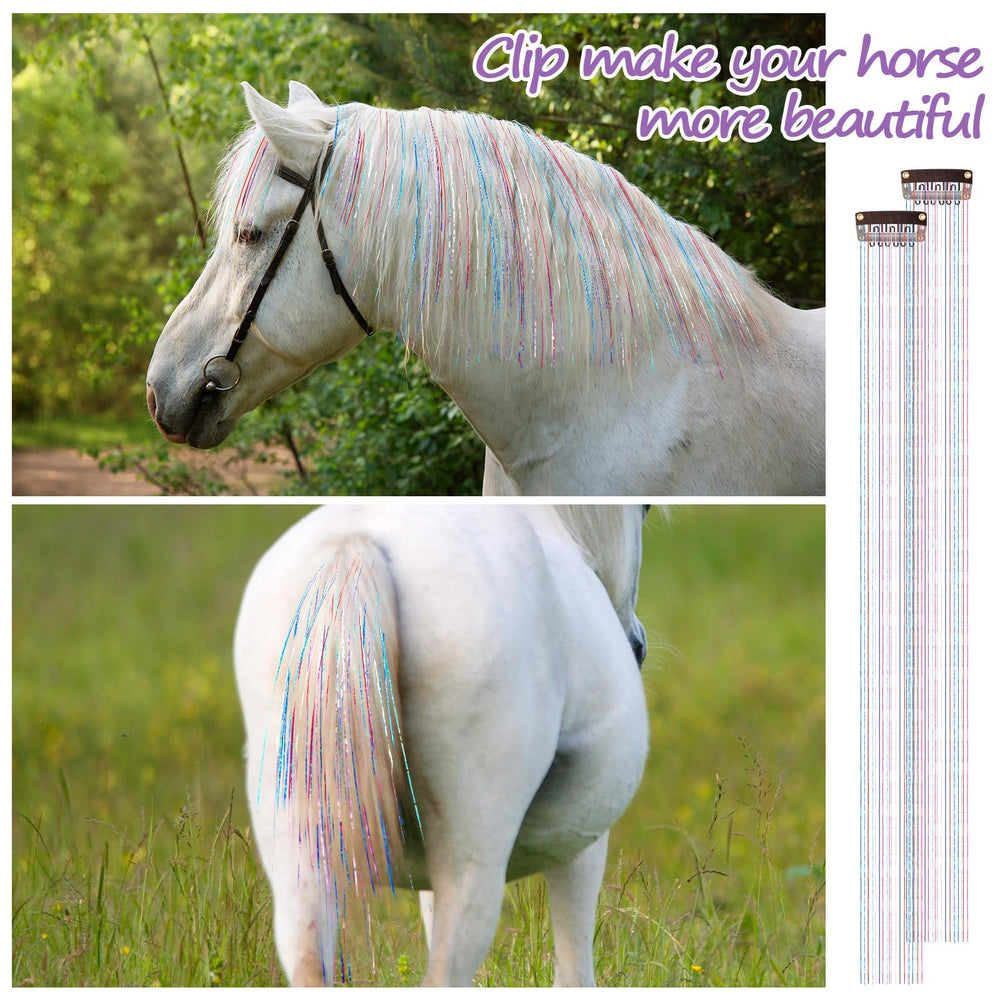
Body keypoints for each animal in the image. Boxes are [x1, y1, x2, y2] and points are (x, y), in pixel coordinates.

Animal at [233, 503, 649, 985]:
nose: (637, 646)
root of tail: (356, 545)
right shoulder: (580, 842)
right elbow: (574, 972)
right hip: (472, 860)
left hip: (298, 855)